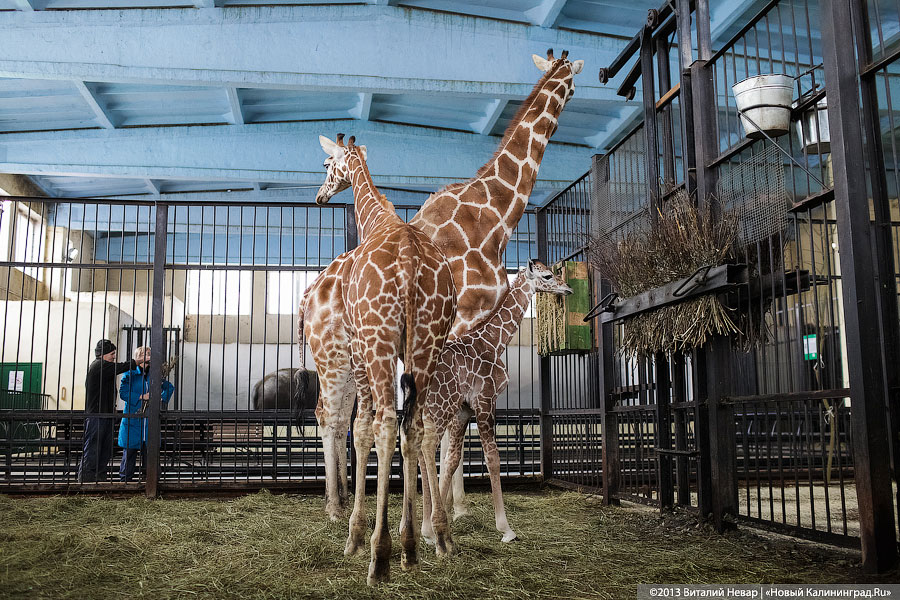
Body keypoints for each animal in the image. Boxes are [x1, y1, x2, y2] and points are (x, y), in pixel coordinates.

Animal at [316, 132, 458, 584]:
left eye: (327, 165)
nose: (321, 195)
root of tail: (410, 262)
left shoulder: (362, 349)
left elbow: (361, 431)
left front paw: (356, 535)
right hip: (428, 345)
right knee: (413, 427)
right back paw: (414, 547)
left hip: (377, 345)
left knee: (382, 425)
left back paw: (379, 556)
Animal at [408, 48, 584, 516]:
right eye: (572, 84)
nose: (570, 97)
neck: (495, 216)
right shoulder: (468, 315)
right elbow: (455, 425)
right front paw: (453, 509)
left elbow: (456, 425)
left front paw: (453, 505)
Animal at [420, 258, 572, 548]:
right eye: (548, 276)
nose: (567, 288)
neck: (494, 341)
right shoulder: (485, 400)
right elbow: (492, 458)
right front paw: (506, 529)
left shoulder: (464, 410)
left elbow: (452, 460)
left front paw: (436, 525)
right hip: (440, 406)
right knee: (425, 447)